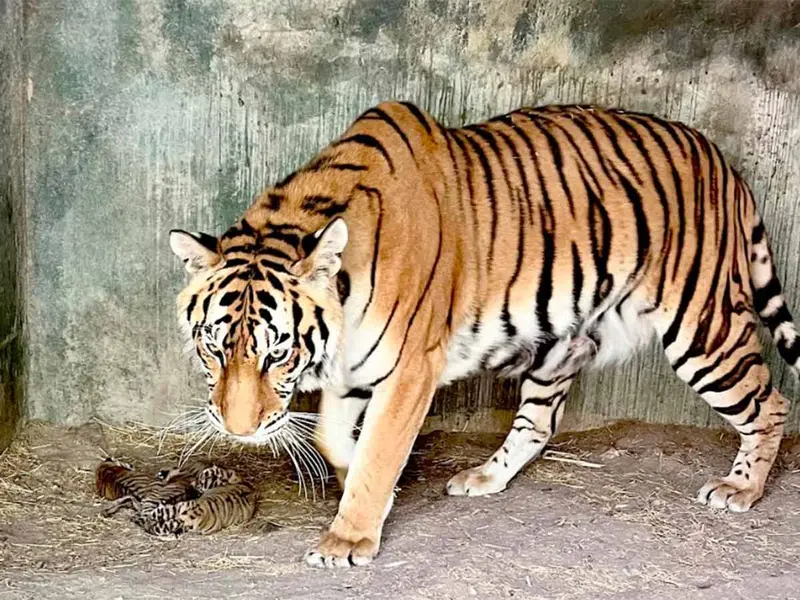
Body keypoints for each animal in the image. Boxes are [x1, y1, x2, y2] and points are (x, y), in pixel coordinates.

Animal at [168, 101, 800, 568]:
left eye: (277, 353)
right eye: (214, 348)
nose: (239, 430)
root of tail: (723, 161)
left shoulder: (409, 368)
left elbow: (378, 448)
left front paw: (349, 537)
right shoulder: (352, 368)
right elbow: (333, 438)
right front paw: (364, 488)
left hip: (703, 328)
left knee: (770, 403)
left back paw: (741, 490)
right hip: (562, 341)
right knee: (539, 421)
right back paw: (484, 477)